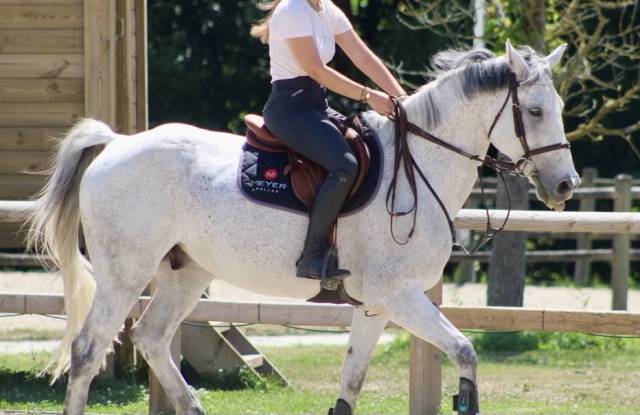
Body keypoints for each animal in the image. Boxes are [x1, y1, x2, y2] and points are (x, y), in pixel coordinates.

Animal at [27, 41, 579, 415]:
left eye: (559, 109)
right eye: (534, 111)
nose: (566, 185)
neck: (420, 164)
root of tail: (118, 143)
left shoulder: (377, 305)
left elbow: (351, 381)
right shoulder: (400, 295)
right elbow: (465, 352)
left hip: (186, 273)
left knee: (152, 337)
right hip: (125, 273)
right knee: (88, 350)